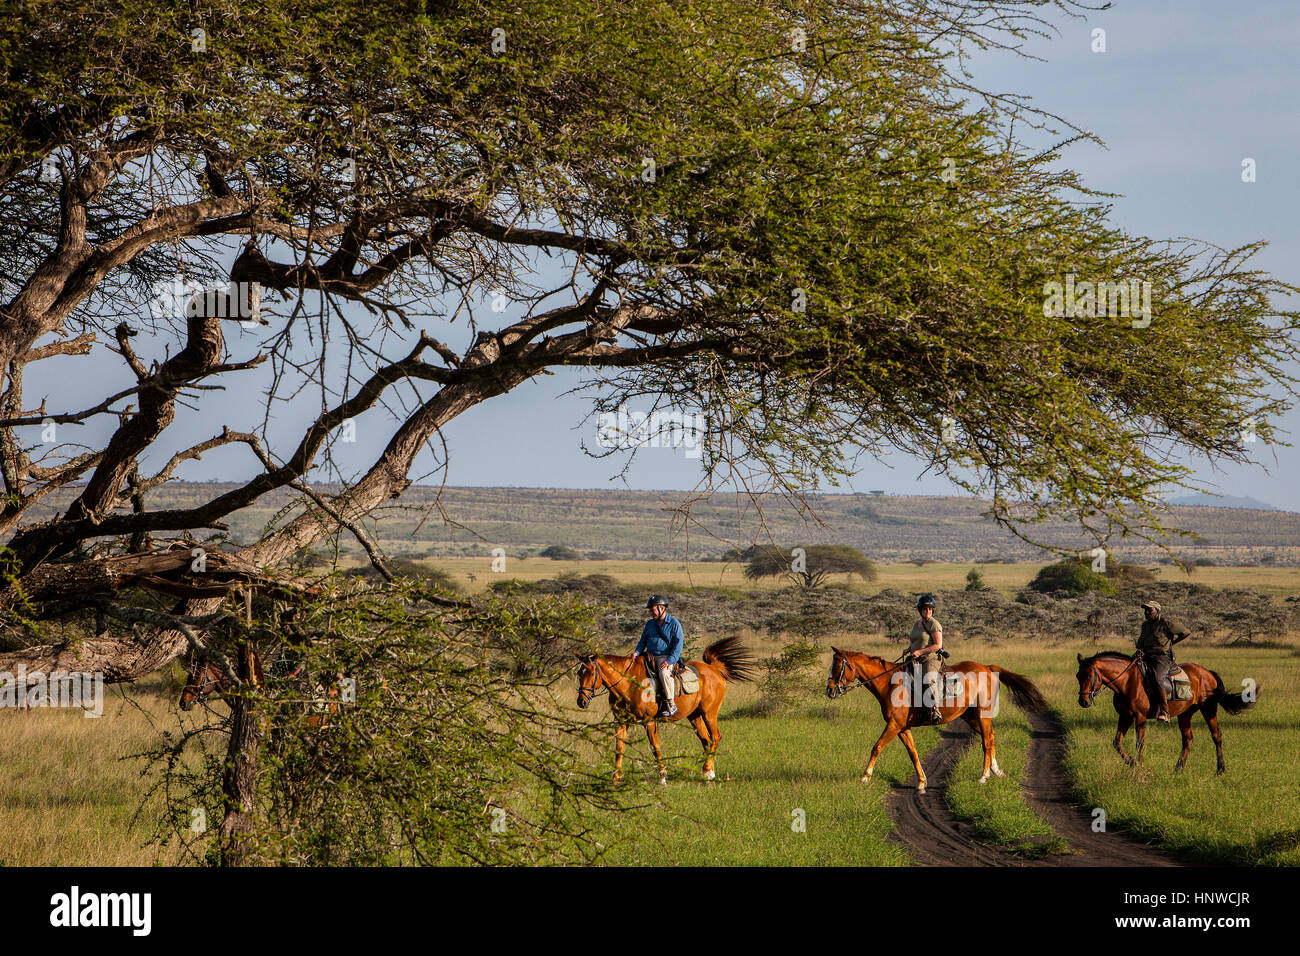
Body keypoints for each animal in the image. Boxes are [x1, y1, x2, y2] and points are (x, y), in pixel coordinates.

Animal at [575, 636, 756, 783]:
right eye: (579, 673)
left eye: (591, 672)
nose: (581, 702)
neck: (629, 683)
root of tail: (714, 669)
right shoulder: (621, 721)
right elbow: (619, 748)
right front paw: (615, 777)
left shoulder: (648, 721)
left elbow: (655, 747)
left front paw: (662, 775)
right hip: (694, 716)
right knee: (706, 740)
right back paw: (708, 772)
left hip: (709, 713)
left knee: (715, 737)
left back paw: (706, 770)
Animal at [825, 646, 1048, 792]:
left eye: (837, 667)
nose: (829, 690)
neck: (890, 683)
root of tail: (987, 667)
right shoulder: (903, 728)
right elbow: (913, 753)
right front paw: (922, 782)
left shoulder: (894, 725)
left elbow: (877, 747)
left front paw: (865, 776)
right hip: (970, 717)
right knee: (991, 737)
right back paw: (996, 771)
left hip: (982, 715)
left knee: (986, 741)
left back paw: (984, 777)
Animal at [1075, 651, 1256, 774]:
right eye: (1078, 675)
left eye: (1089, 675)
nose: (1083, 701)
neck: (1126, 682)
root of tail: (1208, 672)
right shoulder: (1125, 716)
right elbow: (1117, 742)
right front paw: (1132, 762)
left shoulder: (1139, 717)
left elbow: (1139, 742)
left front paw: (1139, 766)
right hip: (1185, 714)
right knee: (1188, 739)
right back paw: (1178, 769)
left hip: (1209, 708)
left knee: (1216, 735)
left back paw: (1220, 769)